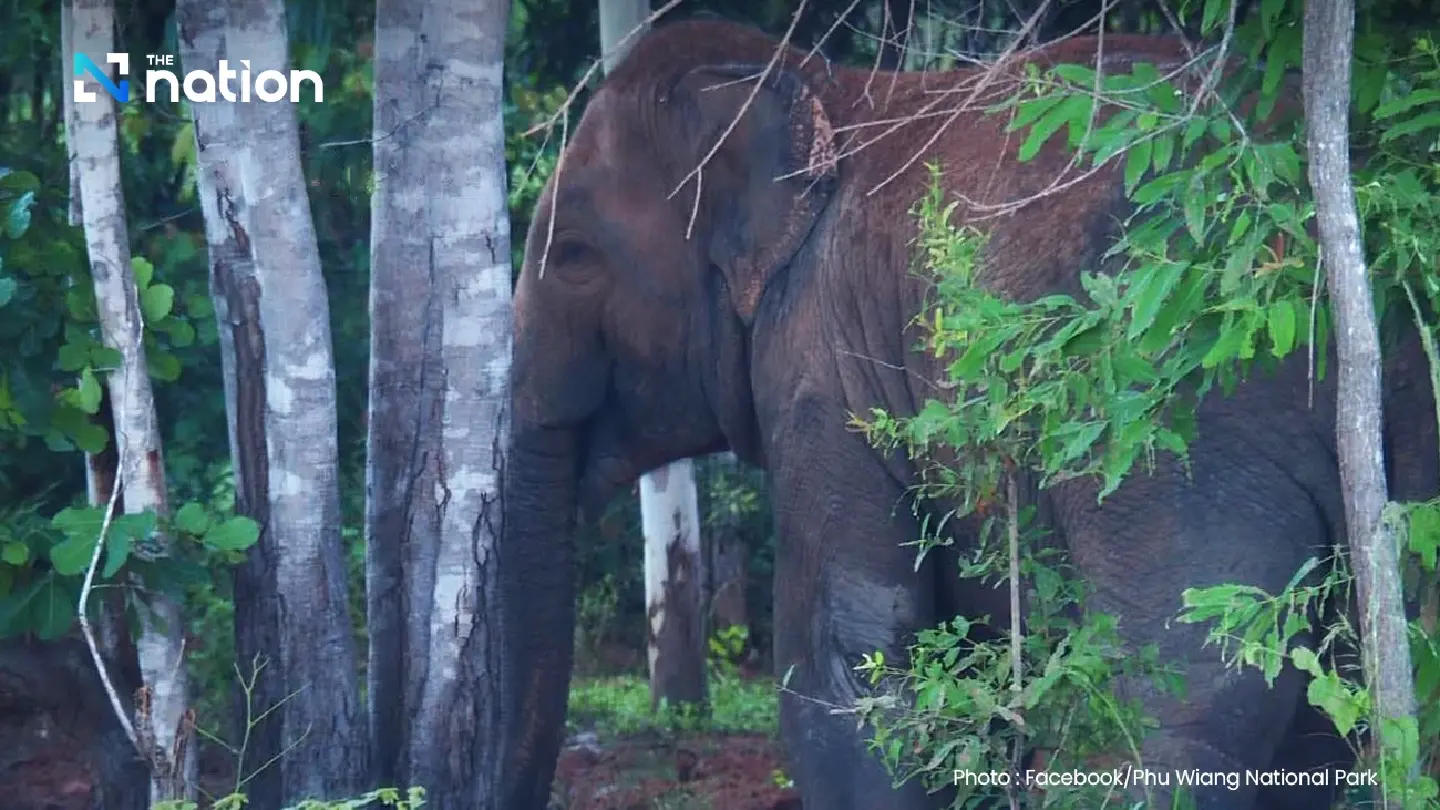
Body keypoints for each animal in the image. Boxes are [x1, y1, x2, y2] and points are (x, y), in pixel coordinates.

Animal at [497, 18, 1438, 810]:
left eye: (573, 257)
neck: (823, 88)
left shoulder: (822, 368)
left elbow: (847, 664)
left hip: (1178, 416)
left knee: (1192, 686)